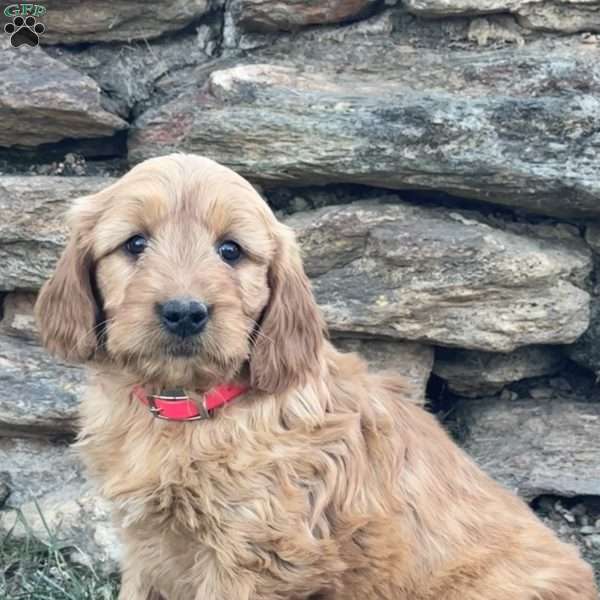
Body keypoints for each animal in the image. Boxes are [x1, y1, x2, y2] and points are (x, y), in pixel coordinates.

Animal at [36, 156, 596, 600]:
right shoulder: (147, 549)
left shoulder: (252, 554)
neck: (190, 408)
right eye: (135, 243)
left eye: (230, 251)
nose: (185, 312)